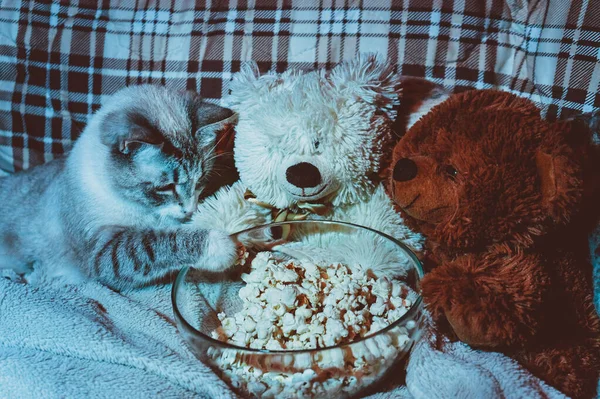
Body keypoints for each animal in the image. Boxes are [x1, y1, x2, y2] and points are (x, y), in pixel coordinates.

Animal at [0, 86, 239, 290]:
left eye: (201, 180)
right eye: (166, 187)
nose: (189, 209)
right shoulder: (102, 251)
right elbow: (153, 243)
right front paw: (222, 245)